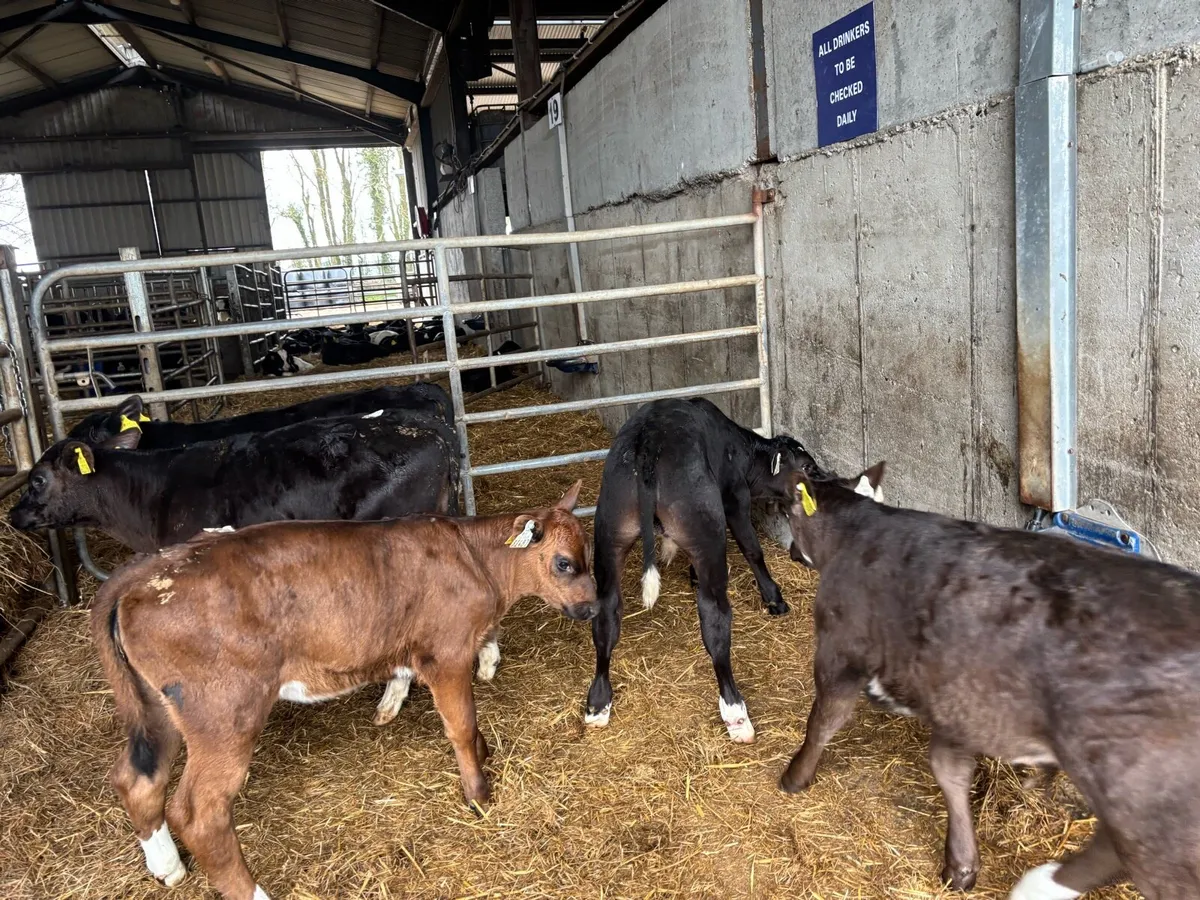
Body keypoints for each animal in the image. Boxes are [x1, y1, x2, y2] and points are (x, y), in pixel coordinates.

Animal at [91, 482, 594, 900]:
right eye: (563, 563)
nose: (592, 608)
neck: (476, 558)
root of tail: (147, 569)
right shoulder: (446, 654)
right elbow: (461, 725)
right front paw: (478, 794)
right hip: (224, 714)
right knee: (201, 813)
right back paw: (253, 893)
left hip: (158, 704)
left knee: (138, 779)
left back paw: (168, 868)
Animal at [584, 397, 822, 742]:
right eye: (807, 466)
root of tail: (649, 439)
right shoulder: (735, 499)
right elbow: (752, 549)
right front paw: (774, 598)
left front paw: (692, 575)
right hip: (706, 528)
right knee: (715, 619)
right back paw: (735, 712)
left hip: (609, 532)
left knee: (606, 615)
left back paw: (598, 704)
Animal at [779, 462, 1200, 899]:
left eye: (788, 511)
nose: (791, 550)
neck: (857, 532)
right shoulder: (959, 698)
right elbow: (950, 770)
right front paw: (961, 864)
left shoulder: (840, 650)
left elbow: (823, 722)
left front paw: (795, 776)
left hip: (1142, 806)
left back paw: (1039, 885)